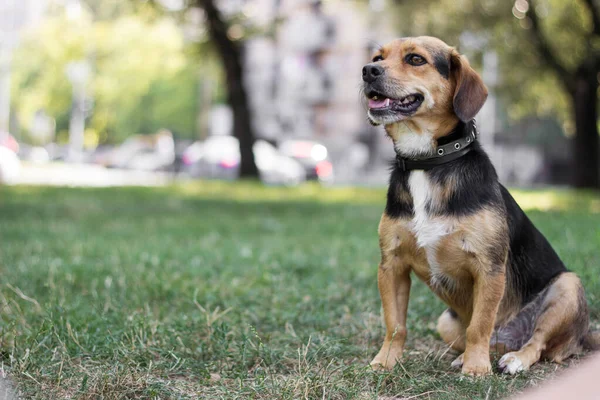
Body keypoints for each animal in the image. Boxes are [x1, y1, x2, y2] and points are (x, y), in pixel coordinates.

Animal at [364, 36, 596, 376]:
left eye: (416, 59)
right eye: (378, 57)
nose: (368, 70)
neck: (428, 163)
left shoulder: (488, 267)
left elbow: (480, 325)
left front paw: (475, 369)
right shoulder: (391, 265)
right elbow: (395, 325)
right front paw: (385, 361)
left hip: (567, 287)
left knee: (537, 343)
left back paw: (513, 359)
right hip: (446, 321)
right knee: (490, 341)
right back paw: (469, 355)